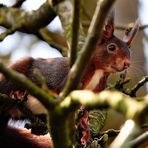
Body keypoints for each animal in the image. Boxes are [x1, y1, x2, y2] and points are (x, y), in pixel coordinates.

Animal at [0, 13, 139, 147]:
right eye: (111, 47)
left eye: (130, 50)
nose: (127, 64)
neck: (99, 70)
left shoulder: (96, 91)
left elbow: (86, 111)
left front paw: (85, 129)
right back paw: (17, 93)